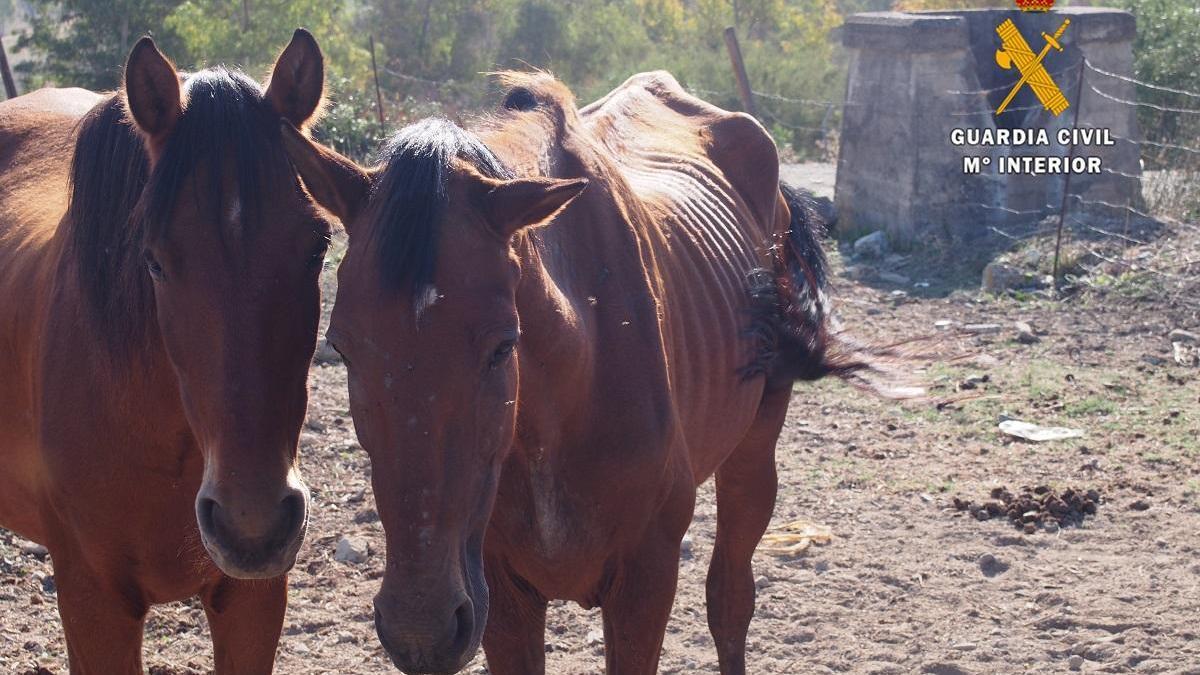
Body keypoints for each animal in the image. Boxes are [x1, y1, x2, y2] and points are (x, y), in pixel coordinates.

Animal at [285, 70, 897, 667]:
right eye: (341, 348)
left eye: (503, 347)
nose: (421, 632)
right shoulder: (502, 600)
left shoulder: (644, 585)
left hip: (752, 453)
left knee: (729, 603)